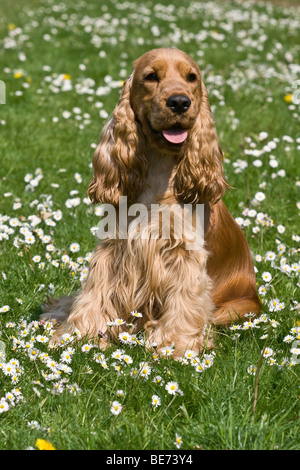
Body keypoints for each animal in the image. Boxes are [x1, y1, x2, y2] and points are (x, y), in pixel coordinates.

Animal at [41, 47, 262, 356]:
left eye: (192, 77)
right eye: (151, 77)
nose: (180, 102)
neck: (159, 170)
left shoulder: (184, 254)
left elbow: (184, 302)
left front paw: (174, 347)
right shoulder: (113, 249)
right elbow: (94, 293)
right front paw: (77, 336)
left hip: (236, 309)